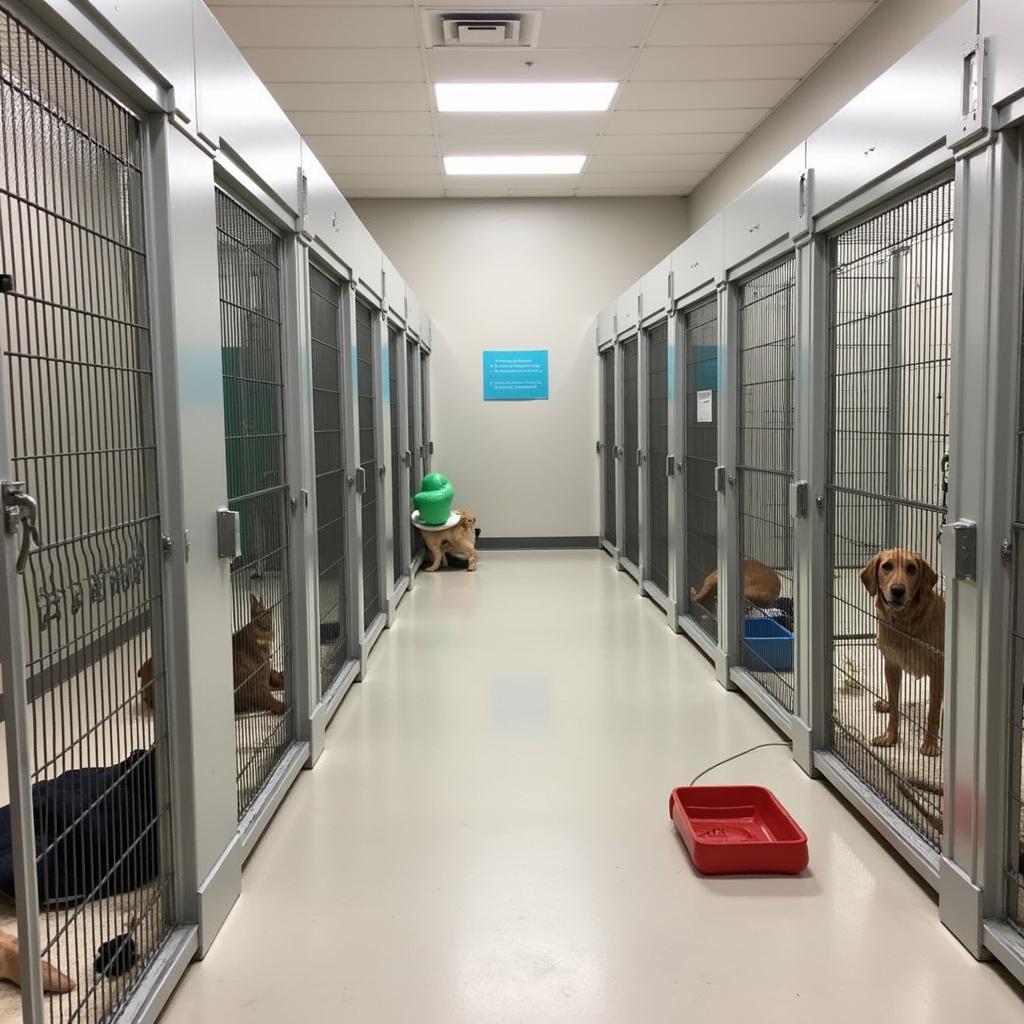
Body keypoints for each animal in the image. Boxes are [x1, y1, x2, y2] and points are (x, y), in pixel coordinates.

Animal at [856, 548, 942, 757]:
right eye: (886, 566)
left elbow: (933, 711)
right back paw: (885, 703)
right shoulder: (891, 665)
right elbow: (895, 708)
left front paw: (930, 744)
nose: (897, 590)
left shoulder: (937, 672)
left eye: (911, 568)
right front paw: (890, 737)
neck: (903, 622)